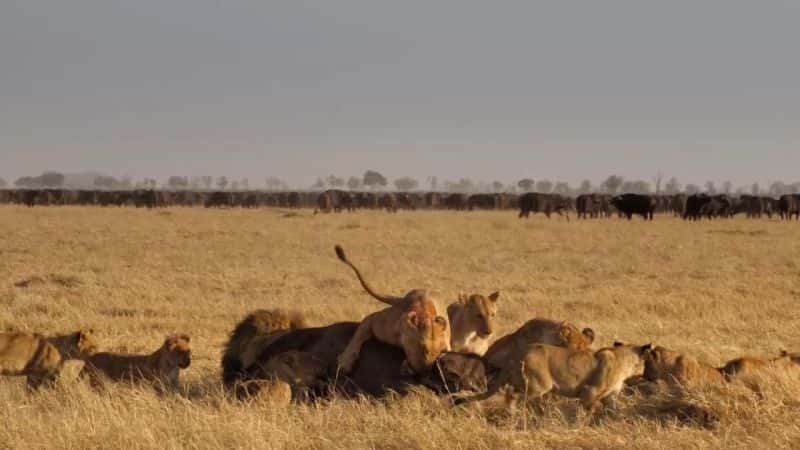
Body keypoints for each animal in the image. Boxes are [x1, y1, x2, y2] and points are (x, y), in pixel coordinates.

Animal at [334, 244, 454, 374]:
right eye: (422, 347)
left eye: (441, 352)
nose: (424, 371)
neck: (425, 313)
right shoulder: (376, 322)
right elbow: (357, 337)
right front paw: (345, 362)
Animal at [468, 342, 648, 414]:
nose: (646, 375)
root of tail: (516, 354)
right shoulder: (589, 391)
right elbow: (585, 411)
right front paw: (579, 425)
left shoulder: (610, 396)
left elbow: (614, 410)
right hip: (540, 385)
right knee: (511, 394)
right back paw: (514, 413)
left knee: (510, 393)